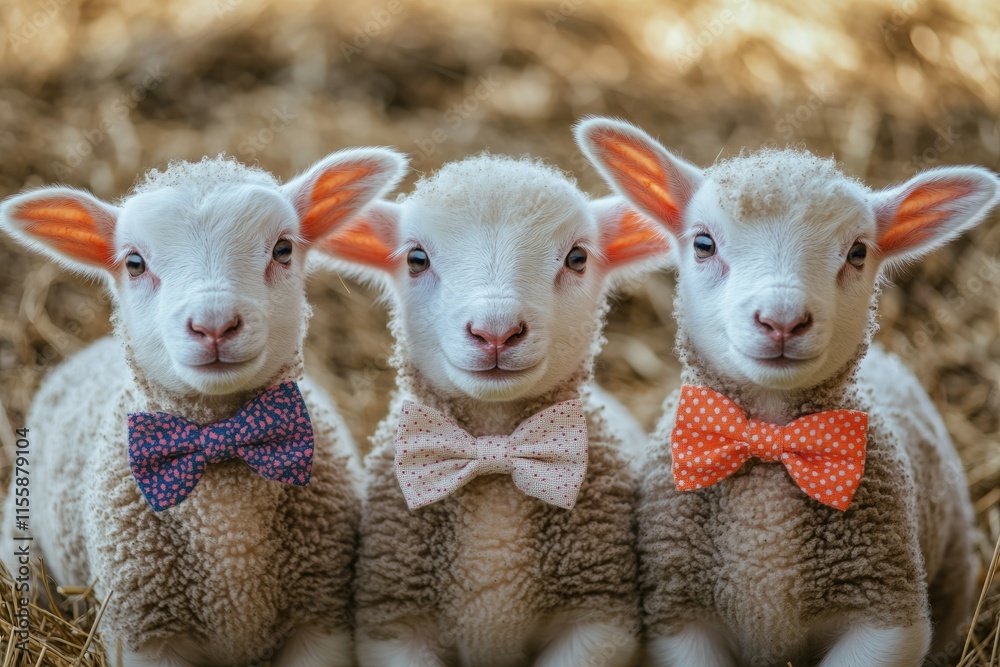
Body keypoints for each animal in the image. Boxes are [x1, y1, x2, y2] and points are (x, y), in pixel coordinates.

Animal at [312, 153, 671, 667]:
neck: (493, 449)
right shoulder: (393, 623)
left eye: (577, 258)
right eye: (416, 259)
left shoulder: (600, 616)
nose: (496, 332)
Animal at [575, 117, 1000, 667]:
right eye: (704, 244)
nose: (782, 320)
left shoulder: (886, 612)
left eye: (857, 252)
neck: (769, 439)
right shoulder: (679, 617)